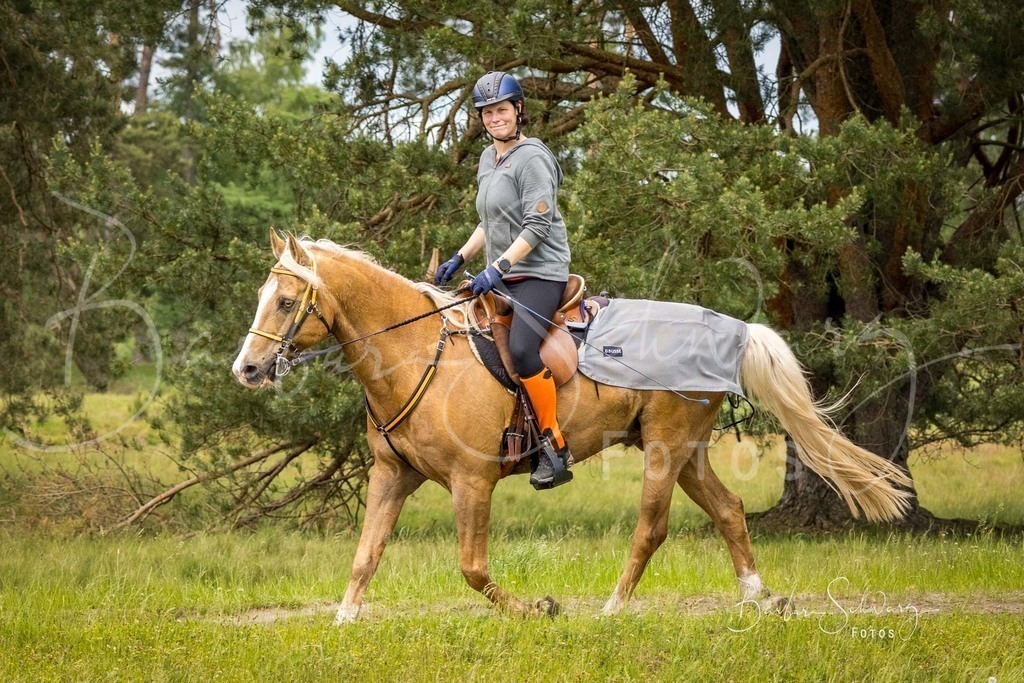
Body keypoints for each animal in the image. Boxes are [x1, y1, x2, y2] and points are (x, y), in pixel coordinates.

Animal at [232, 231, 912, 623]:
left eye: (287, 302)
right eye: (262, 298)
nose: (247, 368)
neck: (419, 351)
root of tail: (733, 328)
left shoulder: (471, 482)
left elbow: (472, 568)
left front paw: (540, 608)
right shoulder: (392, 475)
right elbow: (365, 556)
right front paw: (345, 623)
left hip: (665, 448)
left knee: (652, 528)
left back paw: (612, 608)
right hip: (687, 450)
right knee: (729, 510)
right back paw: (756, 596)